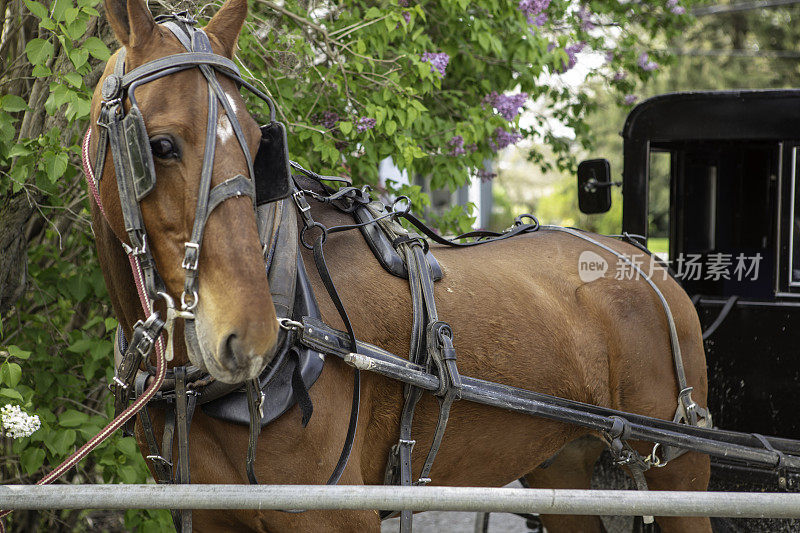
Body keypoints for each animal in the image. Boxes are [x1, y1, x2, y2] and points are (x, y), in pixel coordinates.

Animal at [89, 1, 712, 532]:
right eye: (160, 146)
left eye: (257, 145)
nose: (253, 334)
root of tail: (641, 257)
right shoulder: (213, 513)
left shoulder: (336, 516)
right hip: (566, 469)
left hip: (679, 474)